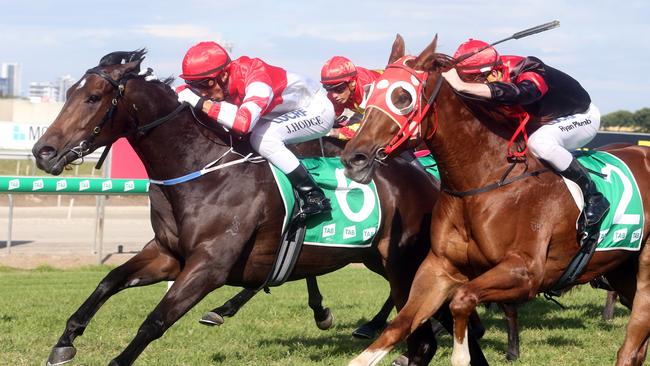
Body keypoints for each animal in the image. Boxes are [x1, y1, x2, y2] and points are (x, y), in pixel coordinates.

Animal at [30, 50, 486, 364]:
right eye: (69, 92)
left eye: (93, 97)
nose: (42, 151)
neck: (199, 170)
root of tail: (426, 178)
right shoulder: (168, 255)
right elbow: (108, 282)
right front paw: (65, 342)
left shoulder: (208, 267)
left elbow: (154, 322)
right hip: (387, 262)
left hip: (405, 266)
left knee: (425, 335)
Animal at [340, 35, 648, 366]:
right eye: (370, 92)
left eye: (402, 96)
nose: (354, 158)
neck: (483, 181)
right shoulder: (440, 268)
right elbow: (399, 325)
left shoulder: (526, 273)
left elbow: (461, 300)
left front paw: (462, 353)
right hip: (621, 269)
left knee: (632, 343)